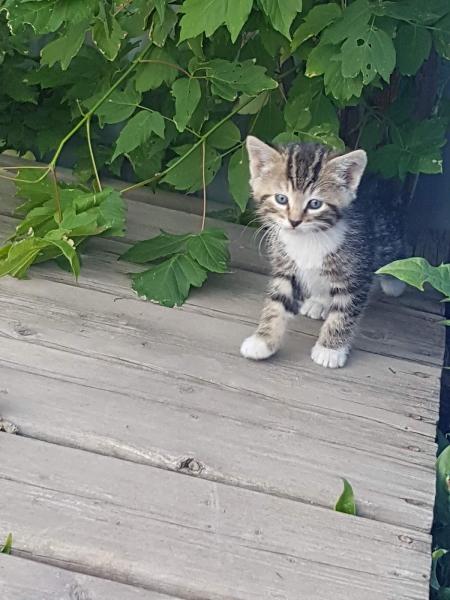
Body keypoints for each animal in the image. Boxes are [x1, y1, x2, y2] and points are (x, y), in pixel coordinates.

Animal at [241, 136, 406, 368]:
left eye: (315, 204)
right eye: (281, 199)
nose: (294, 221)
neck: (308, 238)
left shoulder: (356, 270)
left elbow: (344, 311)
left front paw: (330, 349)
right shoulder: (286, 265)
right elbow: (278, 301)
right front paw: (263, 340)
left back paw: (394, 282)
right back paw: (318, 301)